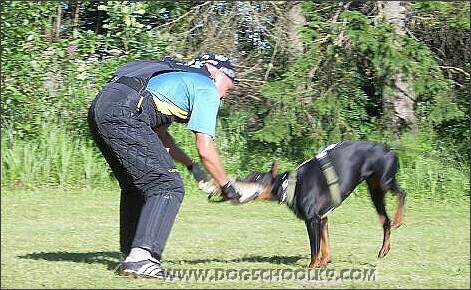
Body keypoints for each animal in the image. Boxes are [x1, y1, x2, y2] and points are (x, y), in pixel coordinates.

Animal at [240, 140, 406, 268]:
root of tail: (387, 148)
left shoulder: (312, 221)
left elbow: (315, 249)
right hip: (375, 192)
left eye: (256, 178)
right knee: (385, 221)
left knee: (402, 193)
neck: (290, 186)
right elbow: (325, 246)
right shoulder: (323, 219)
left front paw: (312, 266)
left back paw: (398, 220)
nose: (235, 184)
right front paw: (325, 262)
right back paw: (384, 249)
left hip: (385, 182)